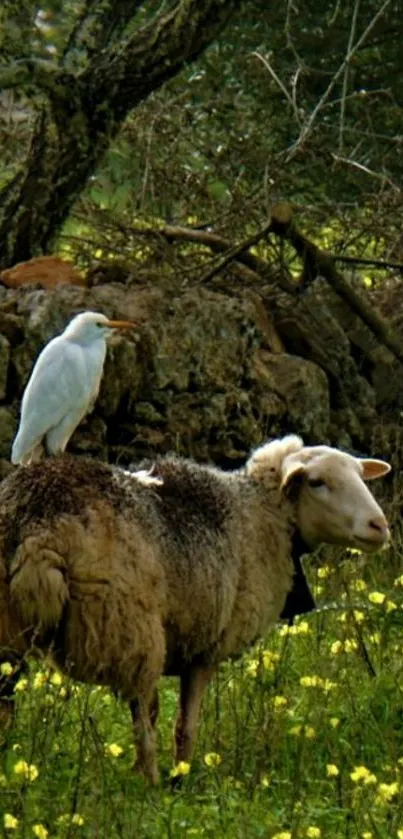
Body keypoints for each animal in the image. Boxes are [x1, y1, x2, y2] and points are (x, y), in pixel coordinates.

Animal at [0, 436, 392, 784]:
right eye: (317, 482)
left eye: (360, 474)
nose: (380, 526)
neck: (262, 515)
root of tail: (38, 527)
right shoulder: (205, 647)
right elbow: (185, 727)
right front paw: (181, 779)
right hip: (129, 627)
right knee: (144, 720)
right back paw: (151, 783)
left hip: (12, 634)